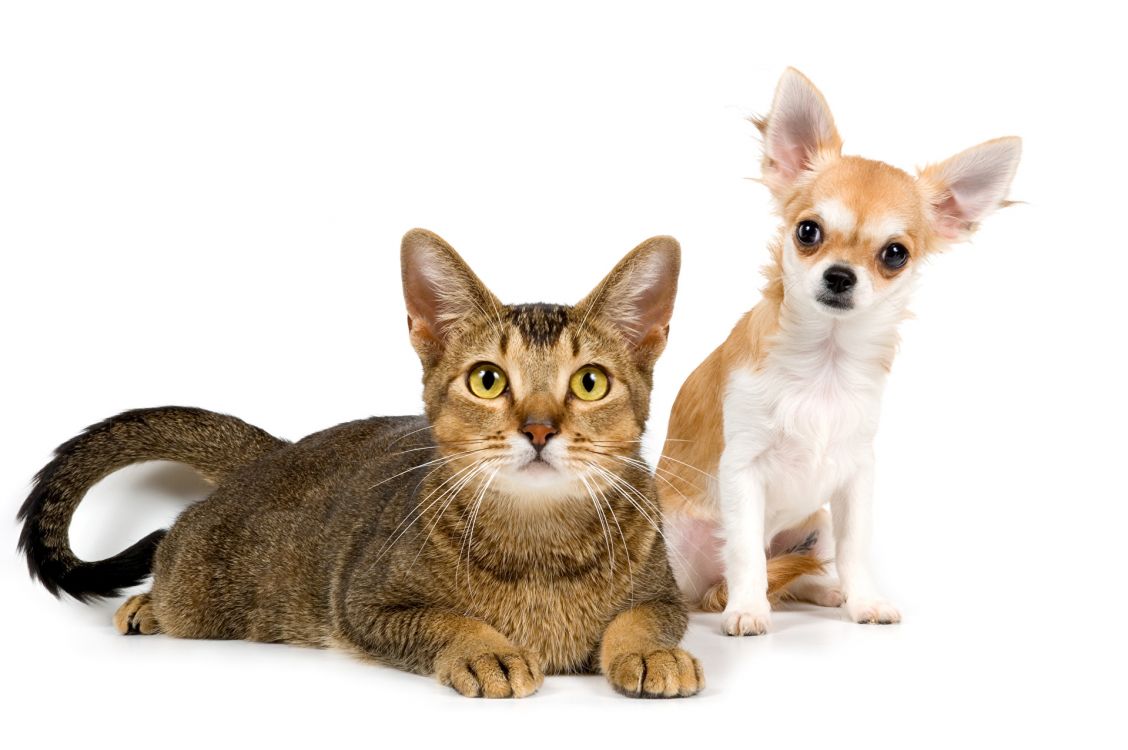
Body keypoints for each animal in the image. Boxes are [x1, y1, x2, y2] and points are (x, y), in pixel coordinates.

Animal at [19, 226, 703, 694]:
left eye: (590, 383)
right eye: (487, 380)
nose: (538, 429)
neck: (539, 544)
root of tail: (282, 449)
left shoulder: (667, 593)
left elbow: (644, 618)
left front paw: (649, 653)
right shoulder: (366, 604)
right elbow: (443, 621)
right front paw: (486, 650)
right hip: (201, 583)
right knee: (170, 560)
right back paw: (144, 607)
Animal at [658, 68, 1019, 631]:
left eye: (895, 254)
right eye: (808, 231)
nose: (840, 275)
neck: (823, 363)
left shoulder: (855, 476)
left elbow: (855, 549)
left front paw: (864, 600)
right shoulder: (741, 470)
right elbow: (745, 551)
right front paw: (747, 609)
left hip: (817, 523)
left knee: (797, 571)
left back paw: (828, 591)